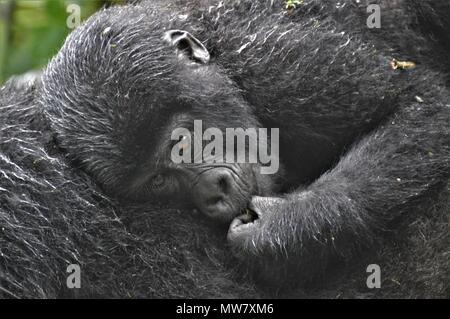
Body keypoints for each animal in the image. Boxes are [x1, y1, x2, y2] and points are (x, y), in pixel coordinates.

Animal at [0, 0, 450, 300]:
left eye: (182, 141)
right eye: (158, 181)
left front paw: (282, 228)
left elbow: (421, 106)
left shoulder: (290, 66)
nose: (211, 192)